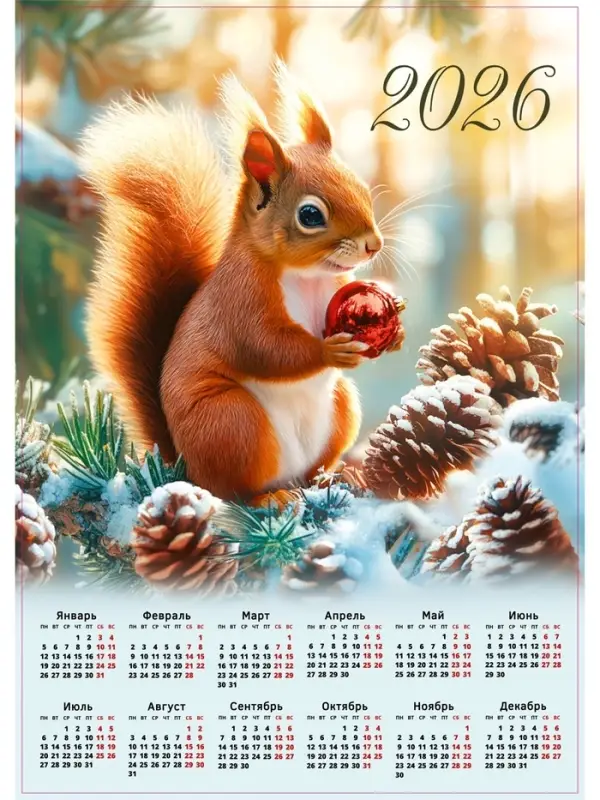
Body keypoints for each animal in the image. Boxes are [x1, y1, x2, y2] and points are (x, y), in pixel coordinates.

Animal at [81, 62, 403, 501]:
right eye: (310, 215)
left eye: (363, 189)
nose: (374, 244)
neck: (308, 277)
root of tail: (185, 465)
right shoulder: (239, 299)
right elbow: (263, 347)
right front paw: (328, 350)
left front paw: (396, 329)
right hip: (233, 423)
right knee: (233, 491)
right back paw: (271, 497)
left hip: (341, 406)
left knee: (311, 469)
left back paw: (333, 478)